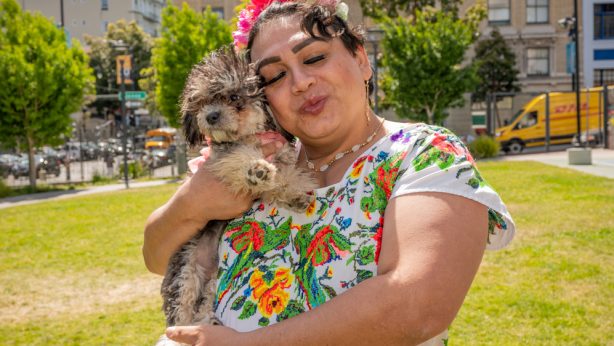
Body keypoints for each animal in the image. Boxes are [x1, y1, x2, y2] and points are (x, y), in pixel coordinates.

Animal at [156, 46, 316, 346]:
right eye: (201, 102)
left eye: (233, 97)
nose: (211, 116)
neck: (250, 135)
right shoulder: (221, 157)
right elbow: (240, 157)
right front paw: (256, 169)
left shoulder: (281, 155)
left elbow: (285, 176)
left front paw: (295, 193)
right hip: (185, 273)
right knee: (180, 319)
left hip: (212, 283)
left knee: (203, 308)